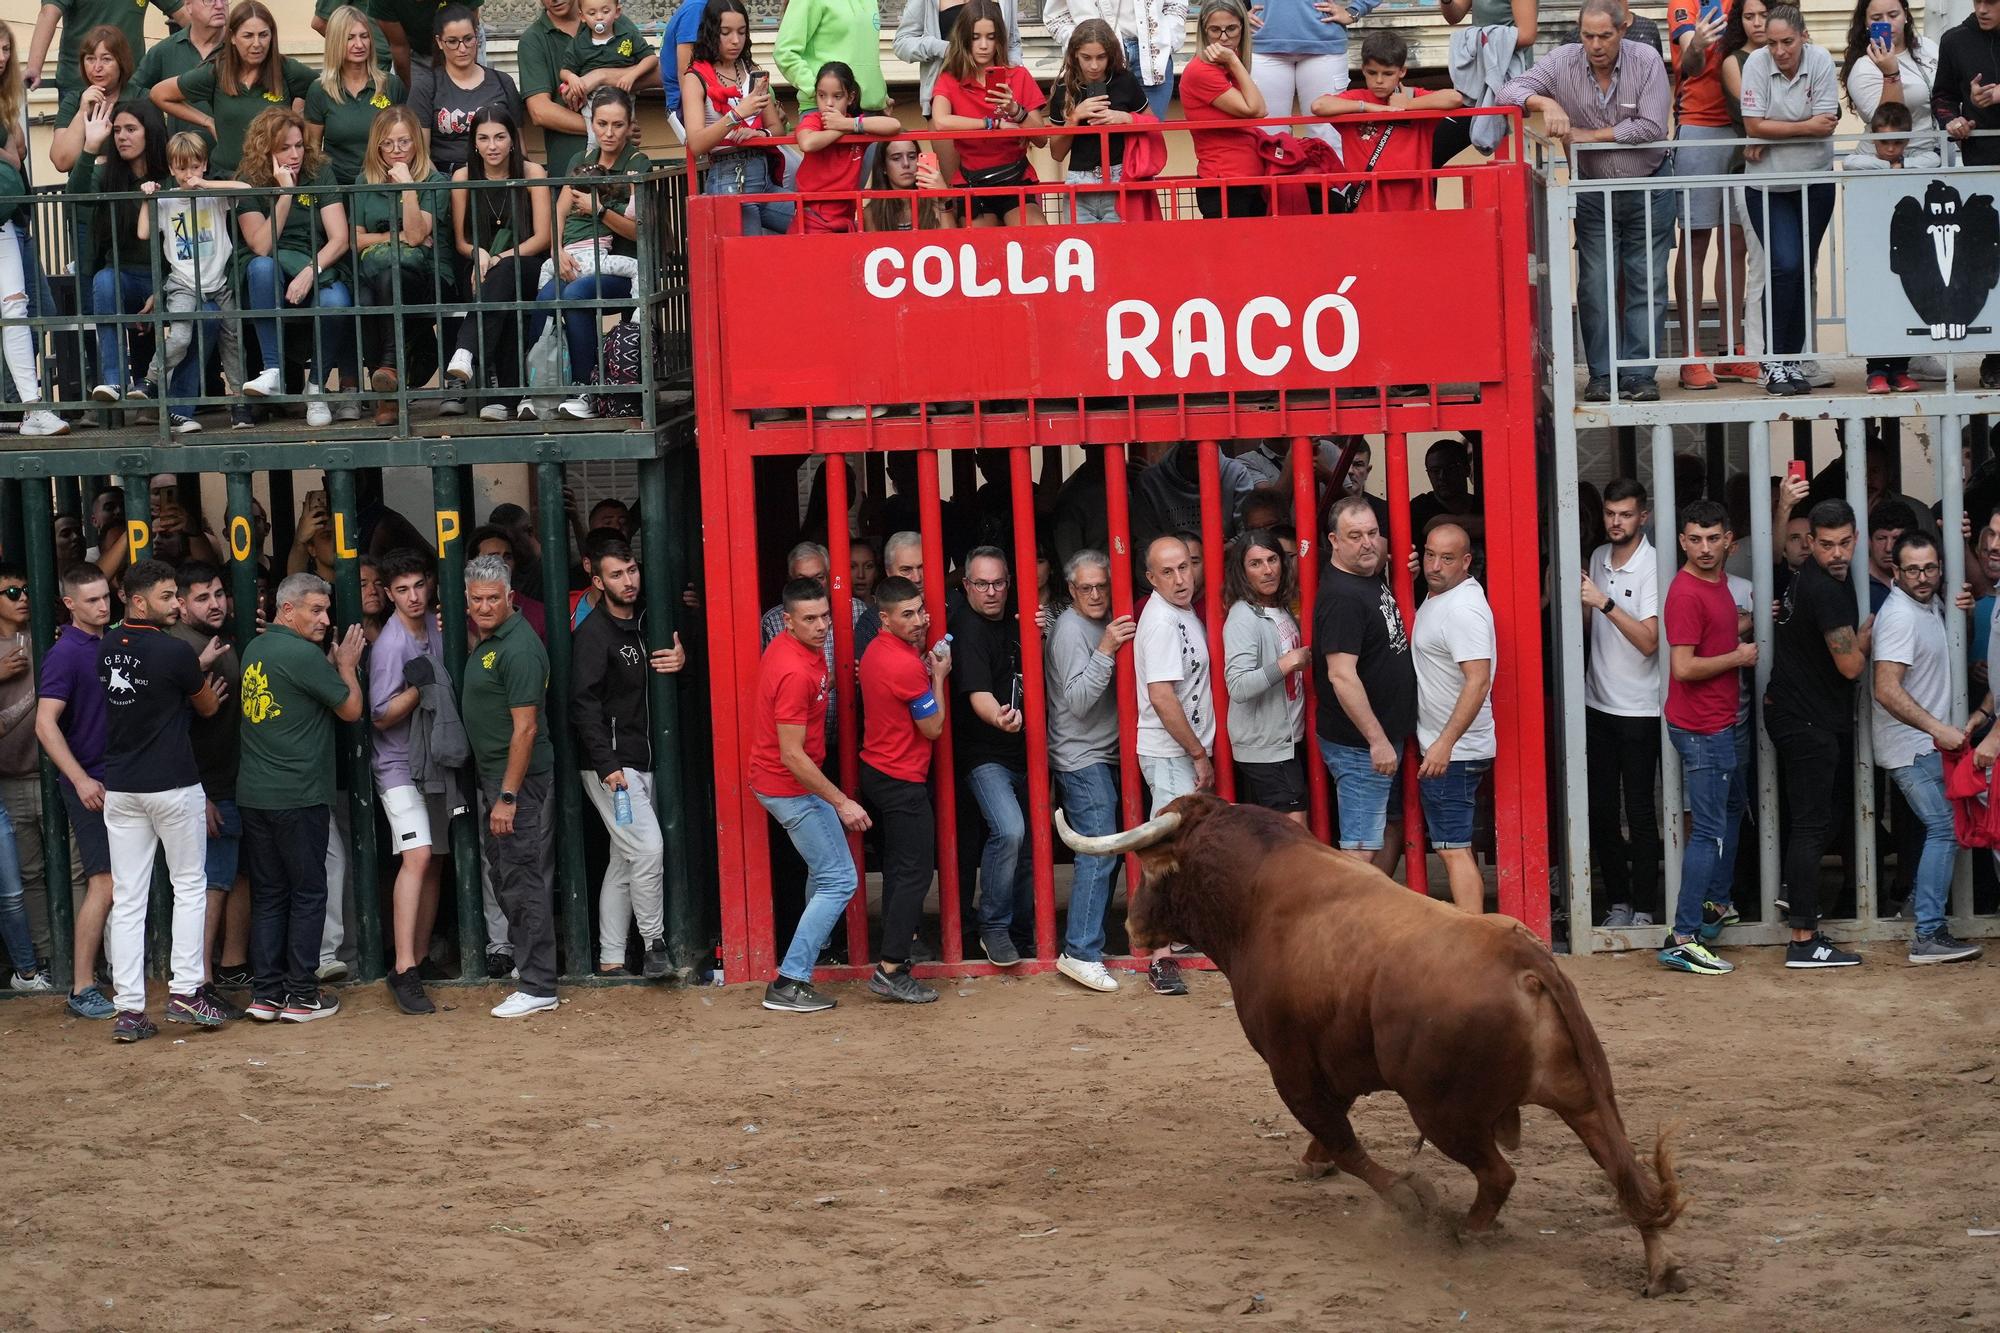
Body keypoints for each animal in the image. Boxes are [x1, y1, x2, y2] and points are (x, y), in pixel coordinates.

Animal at [1064, 788, 1688, 1288]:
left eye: (1152, 871)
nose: (1132, 926)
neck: (1256, 895)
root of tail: (1526, 961)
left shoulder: (1290, 1067)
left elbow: (1343, 1140)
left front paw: (1409, 1197)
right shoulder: (1333, 1066)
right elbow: (1333, 1132)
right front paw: (1315, 1164)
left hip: (1444, 1113)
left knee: (1500, 1174)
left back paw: (1466, 1231)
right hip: (1584, 1097)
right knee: (1623, 1171)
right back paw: (1661, 1266)